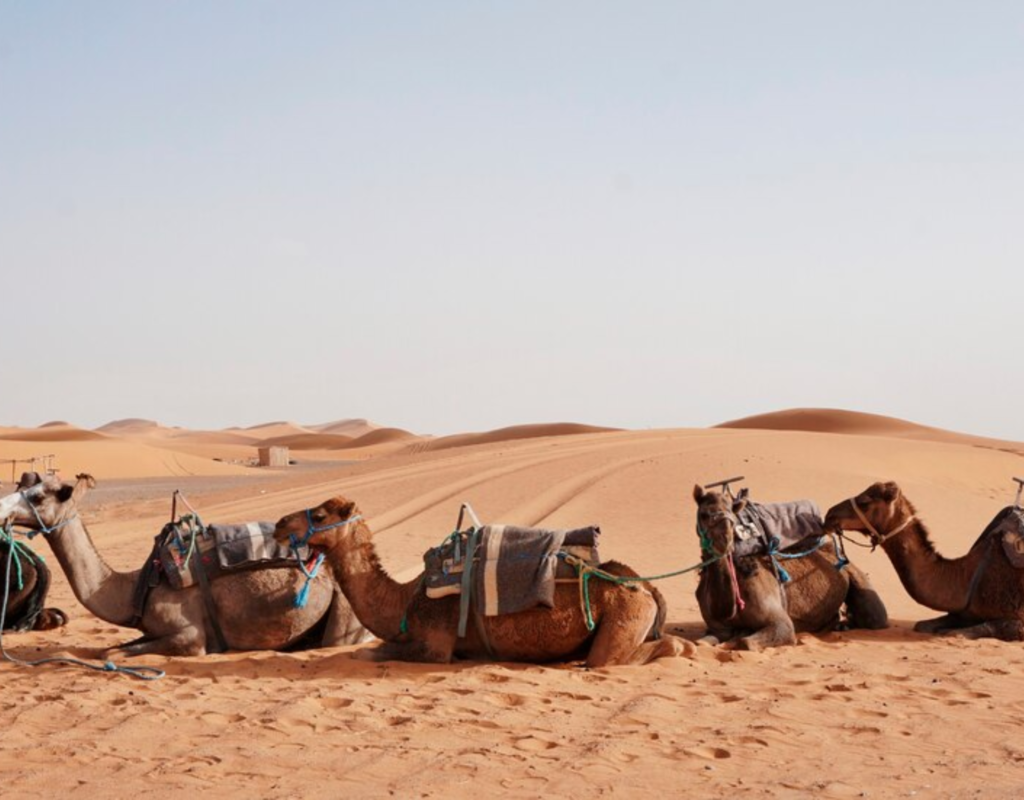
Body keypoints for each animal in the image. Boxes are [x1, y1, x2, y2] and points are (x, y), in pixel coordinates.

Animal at [0, 471, 372, 651]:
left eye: (38, 496)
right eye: (21, 484)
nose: (2, 509)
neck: (135, 588)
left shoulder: (191, 637)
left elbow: (111, 654)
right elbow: (115, 648)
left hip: (344, 612)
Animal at [270, 495, 696, 663]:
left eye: (320, 515)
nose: (279, 523)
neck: (406, 600)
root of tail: (646, 586)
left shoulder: (436, 645)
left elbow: (372, 653)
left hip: (622, 617)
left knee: (641, 652)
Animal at [696, 483, 888, 647]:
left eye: (732, 515)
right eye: (703, 515)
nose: (724, 541)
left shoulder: (782, 624)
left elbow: (746, 642)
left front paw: (742, 635)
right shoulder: (717, 629)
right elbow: (701, 642)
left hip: (855, 575)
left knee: (875, 618)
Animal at [823, 481, 1024, 643]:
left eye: (865, 502)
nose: (829, 515)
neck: (969, 577)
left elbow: (959, 633)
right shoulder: (962, 611)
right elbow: (922, 625)